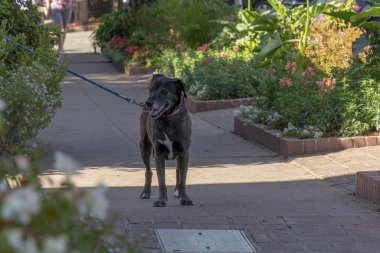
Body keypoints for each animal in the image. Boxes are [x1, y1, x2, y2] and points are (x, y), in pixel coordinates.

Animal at [139, 73, 193, 208]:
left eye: (164, 92)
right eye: (150, 90)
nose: (148, 103)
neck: (168, 119)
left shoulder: (184, 152)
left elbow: (183, 179)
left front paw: (184, 198)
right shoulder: (158, 154)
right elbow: (161, 181)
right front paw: (161, 200)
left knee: (178, 171)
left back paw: (178, 192)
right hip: (144, 147)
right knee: (148, 171)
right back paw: (146, 192)